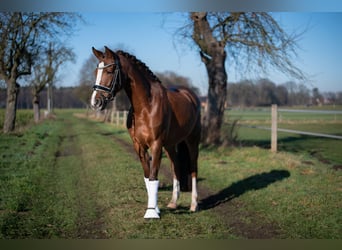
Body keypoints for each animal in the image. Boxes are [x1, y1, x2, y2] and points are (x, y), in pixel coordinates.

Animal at [90, 47, 200, 219]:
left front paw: (151, 213)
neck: (146, 105)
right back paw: (173, 202)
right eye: (96, 71)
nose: (95, 102)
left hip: (192, 140)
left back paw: (194, 205)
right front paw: (155, 209)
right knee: (175, 166)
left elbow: (154, 176)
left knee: (193, 168)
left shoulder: (156, 144)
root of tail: (191, 96)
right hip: (170, 145)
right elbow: (148, 178)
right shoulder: (139, 146)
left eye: (110, 70)